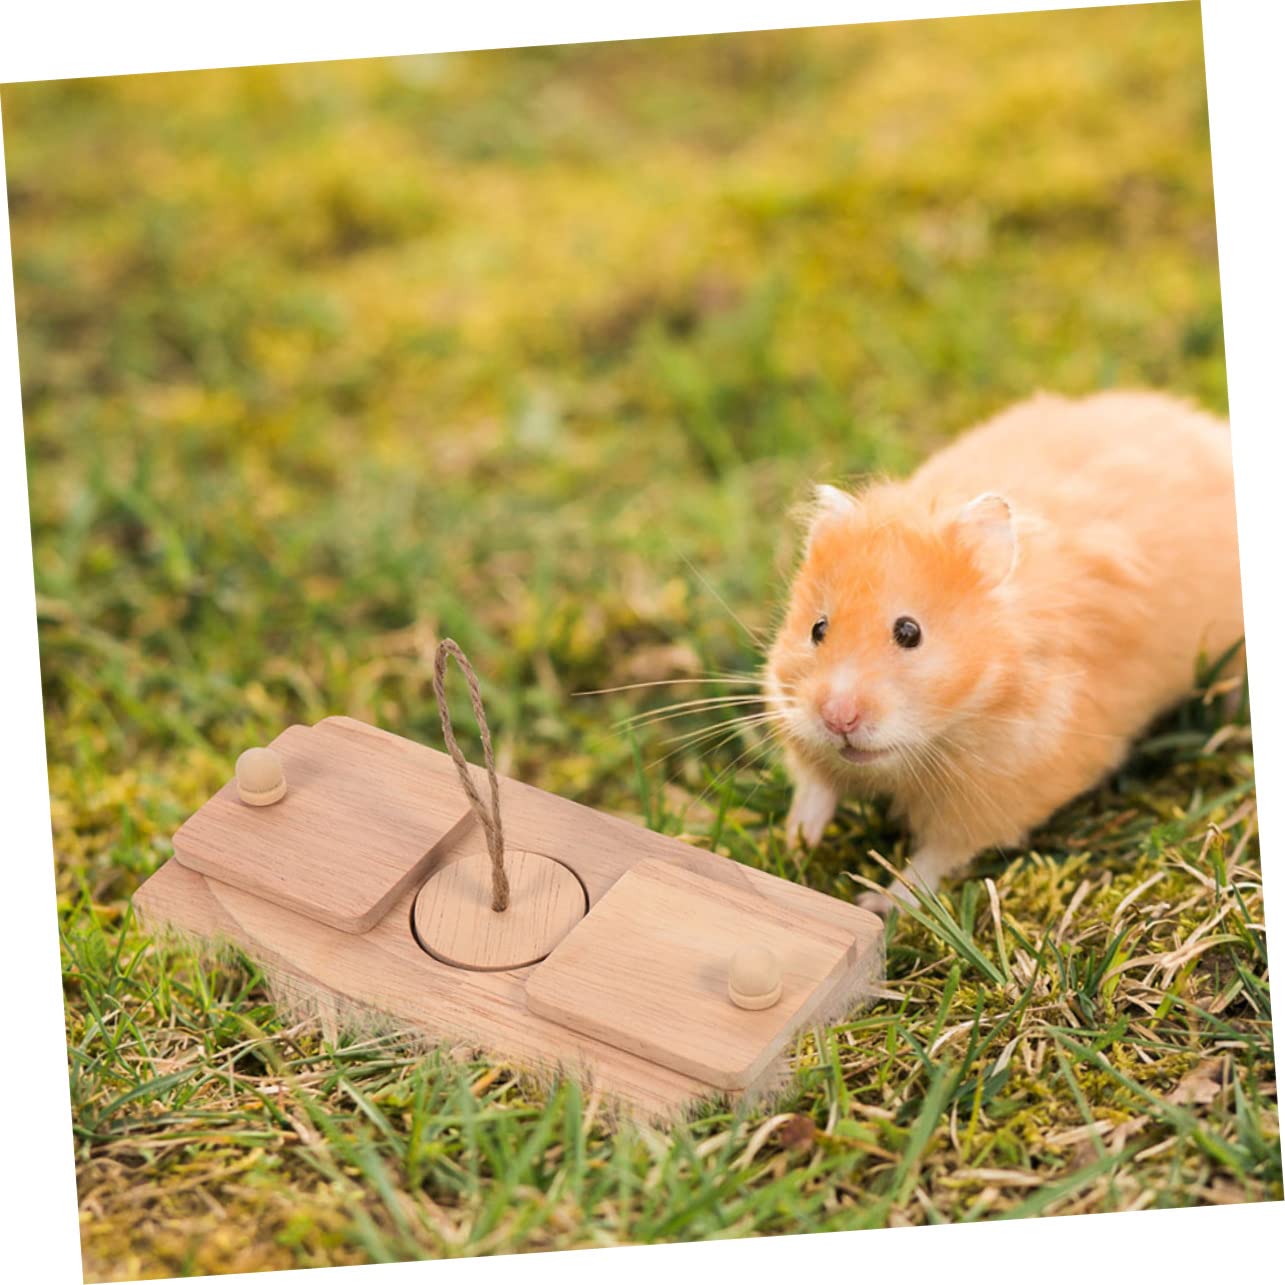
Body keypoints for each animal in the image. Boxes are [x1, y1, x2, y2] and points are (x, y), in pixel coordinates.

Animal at [765, 390, 1245, 913]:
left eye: (909, 632)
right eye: (817, 628)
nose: (838, 719)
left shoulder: (1002, 791)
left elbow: (935, 858)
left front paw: (877, 901)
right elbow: (815, 784)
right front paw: (796, 843)